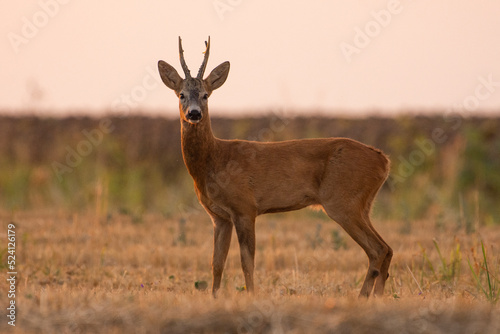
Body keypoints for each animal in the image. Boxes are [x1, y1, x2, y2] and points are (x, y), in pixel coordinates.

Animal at [158, 36, 392, 298]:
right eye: (181, 94)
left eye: (206, 95)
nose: (194, 114)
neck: (214, 160)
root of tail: (384, 160)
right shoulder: (219, 217)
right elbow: (216, 263)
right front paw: (215, 297)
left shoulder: (245, 207)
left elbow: (246, 261)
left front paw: (251, 295)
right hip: (363, 205)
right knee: (387, 249)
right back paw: (377, 297)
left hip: (343, 202)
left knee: (378, 249)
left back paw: (364, 298)